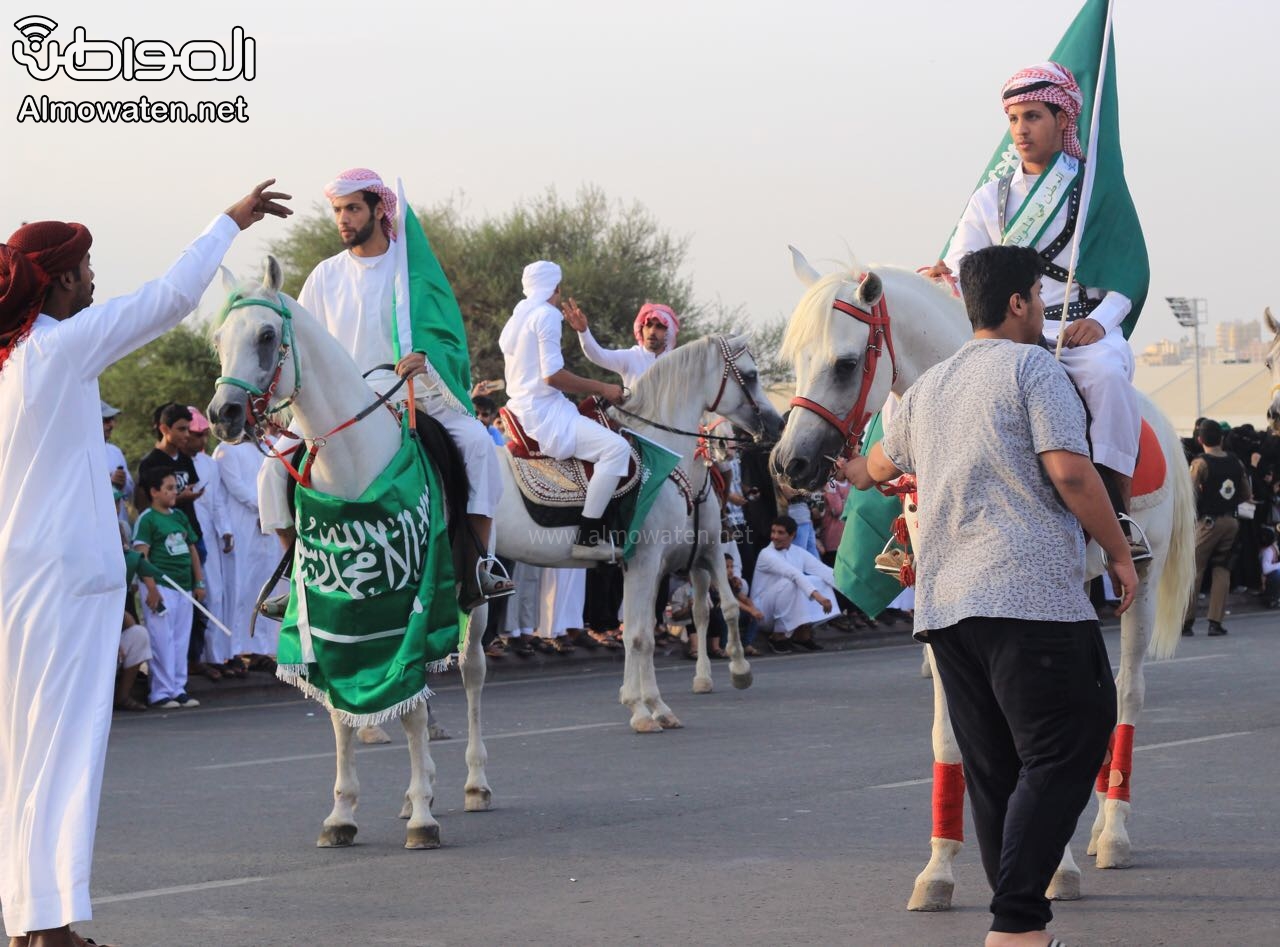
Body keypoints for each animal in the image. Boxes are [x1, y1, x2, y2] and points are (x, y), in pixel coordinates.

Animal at [207, 258, 491, 849]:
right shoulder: (328, 616)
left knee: (472, 673)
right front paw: (342, 815)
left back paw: (473, 784)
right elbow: (343, 714)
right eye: (220, 340)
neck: (353, 468)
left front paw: (425, 820)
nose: (224, 414)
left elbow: (411, 711)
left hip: (472, 602)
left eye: (266, 336)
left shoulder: (410, 607)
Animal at [494, 332, 783, 732]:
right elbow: (640, 634)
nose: (777, 424)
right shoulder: (648, 559)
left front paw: (651, 705)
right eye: (752, 375)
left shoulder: (659, 561)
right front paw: (644, 709)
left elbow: (644, 627)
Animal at [768, 252, 1198, 911]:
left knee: (1127, 695)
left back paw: (1113, 832)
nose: (790, 464)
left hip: (1139, 581)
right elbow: (950, 736)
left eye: (844, 364)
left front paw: (1054, 867)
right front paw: (940, 869)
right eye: (796, 362)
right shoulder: (945, 611)